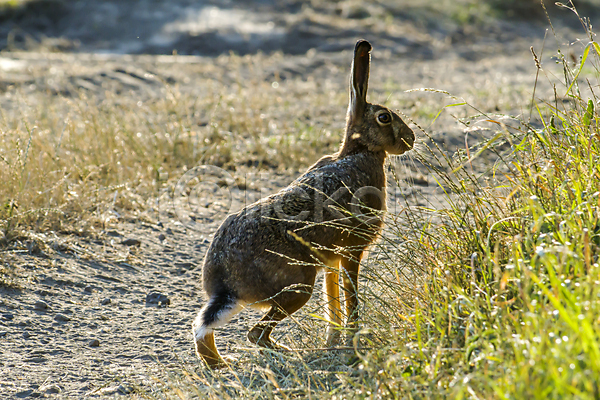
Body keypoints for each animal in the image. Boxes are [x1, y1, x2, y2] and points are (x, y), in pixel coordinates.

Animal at [192, 39, 415, 368]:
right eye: (384, 118)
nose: (411, 138)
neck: (359, 150)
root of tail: (226, 282)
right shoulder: (352, 251)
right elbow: (351, 297)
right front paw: (353, 339)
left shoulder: (332, 261)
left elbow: (333, 300)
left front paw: (333, 340)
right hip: (298, 286)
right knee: (255, 334)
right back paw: (288, 354)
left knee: (205, 326)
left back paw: (220, 362)